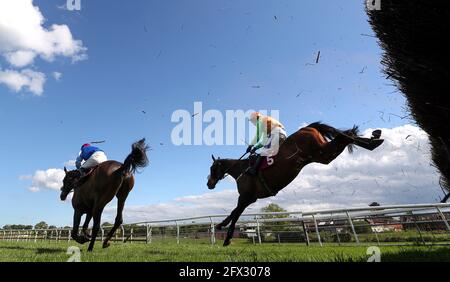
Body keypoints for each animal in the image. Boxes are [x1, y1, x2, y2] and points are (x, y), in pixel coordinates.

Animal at [207, 122, 384, 246]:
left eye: (212, 168)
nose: (209, 184)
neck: (242, 169)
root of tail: (307, 127)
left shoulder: (245, 196)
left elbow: (235, 213)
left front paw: (225, 235)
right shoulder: (250, 198)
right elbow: (234, 213)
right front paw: (222, 226)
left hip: (321, 152)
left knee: (344, 137)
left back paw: (372, 139)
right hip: (321, 155)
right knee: (343, 137)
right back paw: (374, 140)